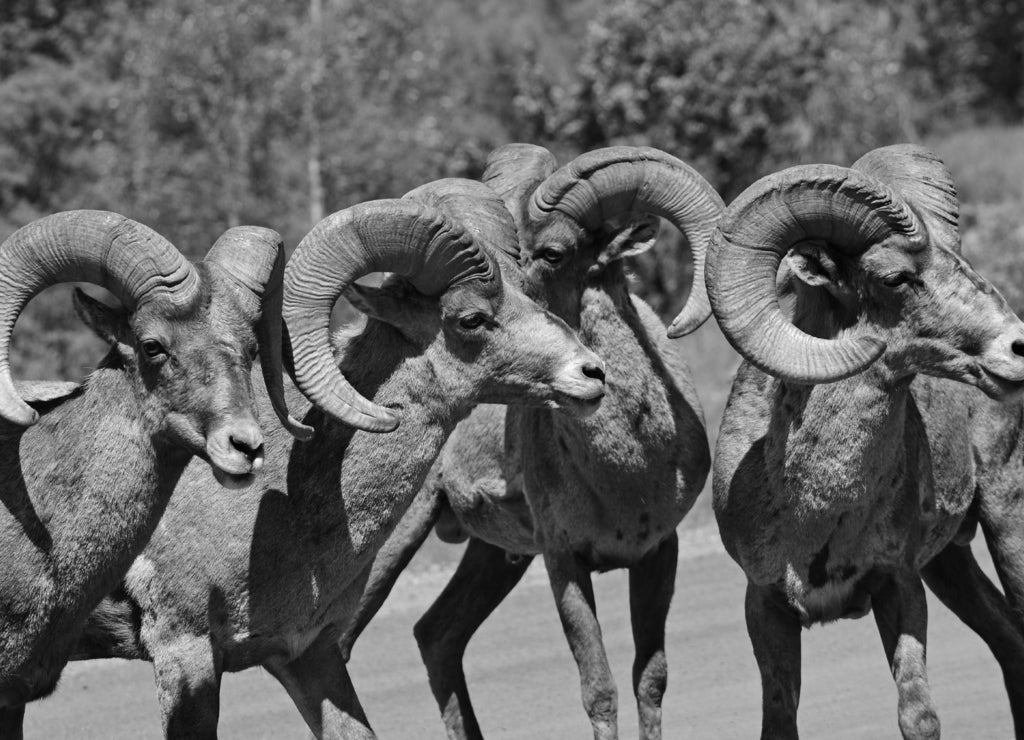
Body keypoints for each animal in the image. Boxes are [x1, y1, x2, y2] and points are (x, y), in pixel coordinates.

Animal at [339, 144, 724, 740]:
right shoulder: (563, 561)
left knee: (437, 636)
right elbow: (600, 689)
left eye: (552, 252)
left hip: (494, 559)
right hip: (390, 546)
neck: (627, 470)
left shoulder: (658, 552)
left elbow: (649, 679)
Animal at [707, 144, 1024, 739]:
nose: (1018, 347)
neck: (817, 508)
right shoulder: (766, 606)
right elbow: (778, 720)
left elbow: (918, 716)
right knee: (1009, 642)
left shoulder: (897, 585)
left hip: (1006, 525)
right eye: (895, 277)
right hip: (951, 566)